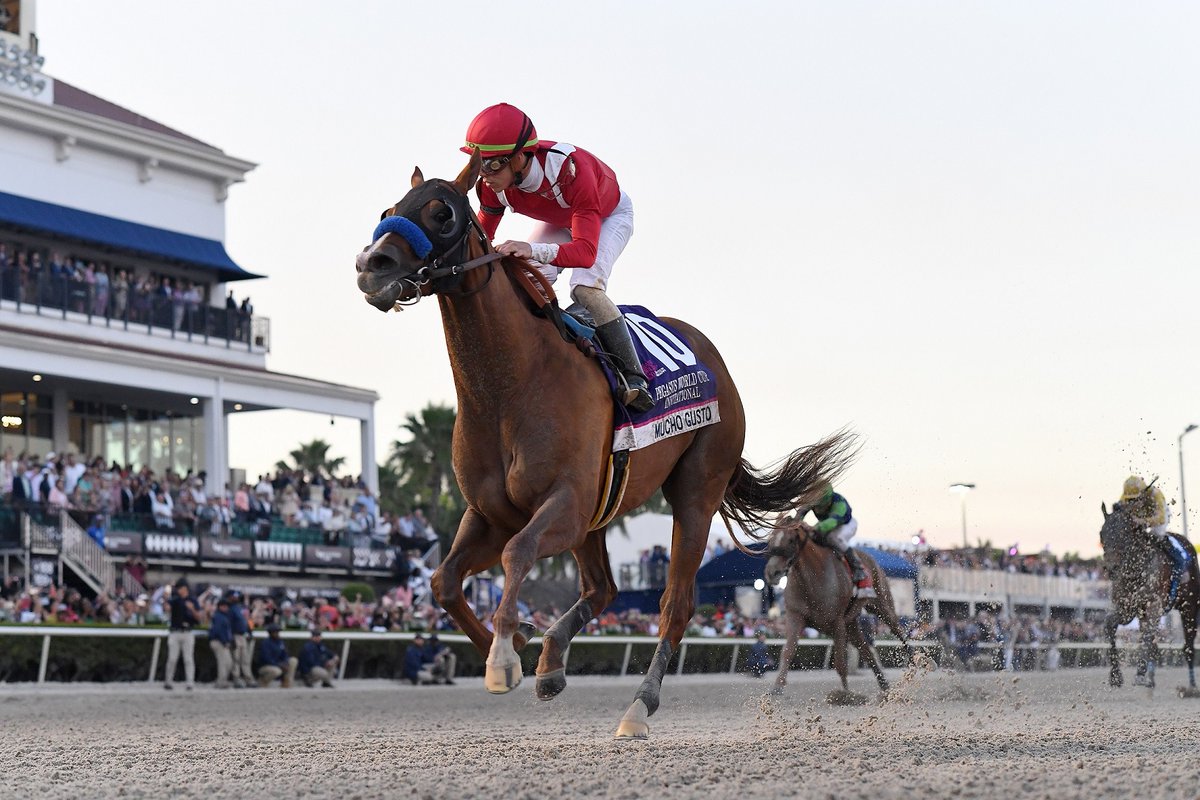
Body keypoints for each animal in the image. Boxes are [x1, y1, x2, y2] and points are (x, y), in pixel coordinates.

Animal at [354, 151, 857, 738]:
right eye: (388, 209)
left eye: (442, 213)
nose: (372, 264)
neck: (510, 385)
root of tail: (716, 363)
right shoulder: (491, 513)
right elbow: (443, 581)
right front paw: (518, 641)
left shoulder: (565, 504)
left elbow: (517, 550)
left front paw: (504, 657)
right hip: (601, 511)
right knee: (602, 589)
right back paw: (551, 662)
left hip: (694, 492)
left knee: (675, 603)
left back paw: (639, 705)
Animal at [764, 516, 916, 700]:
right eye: (770, 538)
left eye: (791, 540)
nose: (771, 573)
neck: (812, 579)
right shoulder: (795, 616)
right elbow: (787, 652)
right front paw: (776, 688)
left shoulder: (837, 622)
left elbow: (840, 663)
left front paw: (845, 694)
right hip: (851, 624)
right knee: (867, 650)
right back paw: (885, 687)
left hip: (881, 605)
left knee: (898, 630)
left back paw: (919, 661)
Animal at [1100, 502, 1199, 692]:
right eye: (1102, 533)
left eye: (1124, 533)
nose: (1111, 568)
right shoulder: (1126, 608)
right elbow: (1110, 626)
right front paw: (1115, 676)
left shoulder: (1154, 605)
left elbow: (1146, 638)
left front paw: (1139, 674)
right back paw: (1151, 679)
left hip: (1189, 608)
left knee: (1188, 647)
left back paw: (1191, 686)